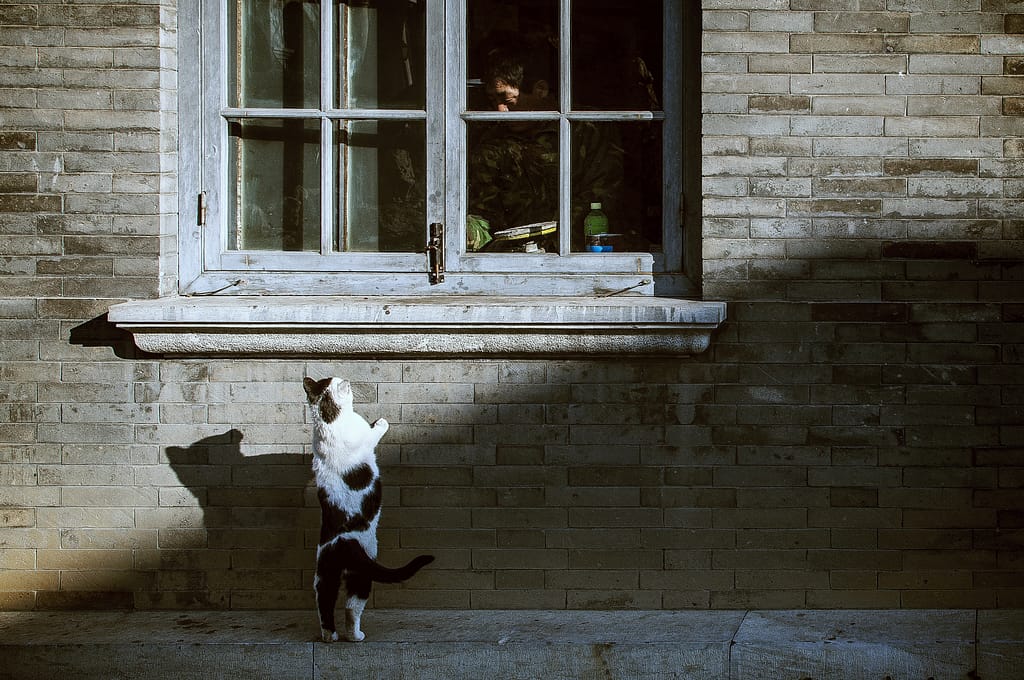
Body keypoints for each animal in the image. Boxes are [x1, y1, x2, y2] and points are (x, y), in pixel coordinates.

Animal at [301, 376, 434, 643]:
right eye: (340, 382)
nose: (347, 379)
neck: (327, 421)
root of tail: (341, 542)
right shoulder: (365, 437)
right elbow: (374, 433)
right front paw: (381, 422)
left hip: (323, 576)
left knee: (325, 606)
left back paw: (330, 636)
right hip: (362, 571)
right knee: (351, 607)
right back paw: (356, 636)